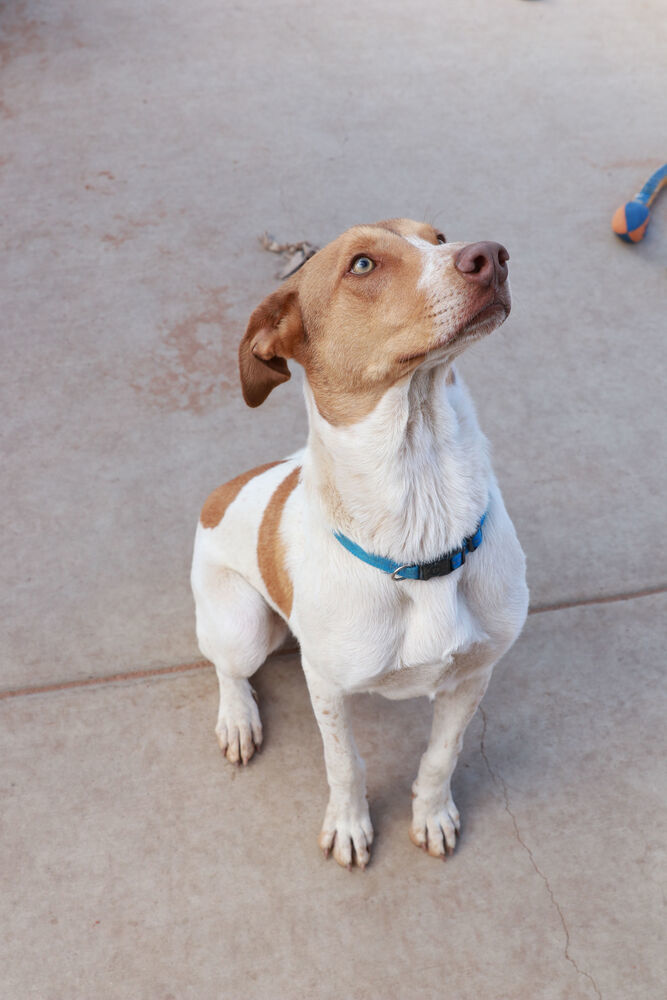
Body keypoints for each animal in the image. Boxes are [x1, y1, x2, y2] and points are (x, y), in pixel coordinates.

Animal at [190, 219, 528, 868]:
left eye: (438, 236)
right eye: (363, 264)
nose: (493, 256)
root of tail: (220, 494)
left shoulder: (474, 674)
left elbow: (441, 756)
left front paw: (432, 816)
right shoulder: (325, 686)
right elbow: (344, 763)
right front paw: (349, 825)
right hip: (243, 628)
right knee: (228, 670)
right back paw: (238, 720)